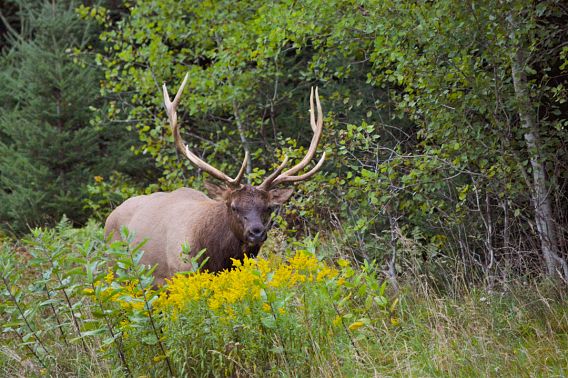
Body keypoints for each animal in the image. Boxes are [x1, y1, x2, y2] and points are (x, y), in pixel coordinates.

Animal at [102, 75, 324, 284]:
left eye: (268, 207)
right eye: (233, 206)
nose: (257, 233)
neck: (217, 258)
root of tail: (110, 217)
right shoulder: (179, 272)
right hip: (116, 267)